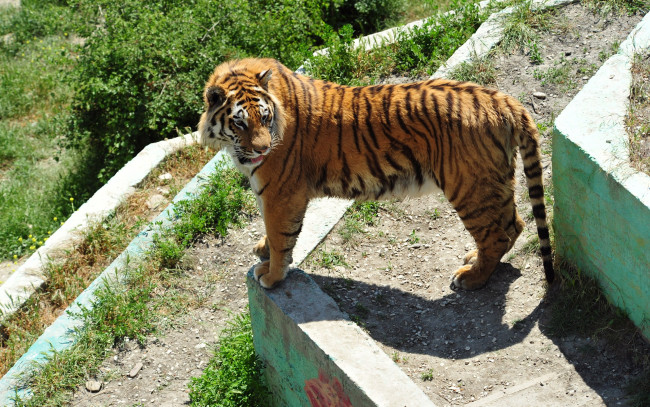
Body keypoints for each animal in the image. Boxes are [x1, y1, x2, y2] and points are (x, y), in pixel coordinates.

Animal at [198, 58, 554, 290]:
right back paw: (475, 259)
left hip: (469, 188)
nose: (261, 150)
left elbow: (281, 235)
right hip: (494, 182)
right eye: (240, 122)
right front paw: (263, 247)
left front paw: (271, 275)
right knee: (514, 224)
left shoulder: (279, 193)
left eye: (264, 117)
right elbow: (271, 232)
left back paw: (470, 278)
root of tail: (505, 101)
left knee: (497, 234)